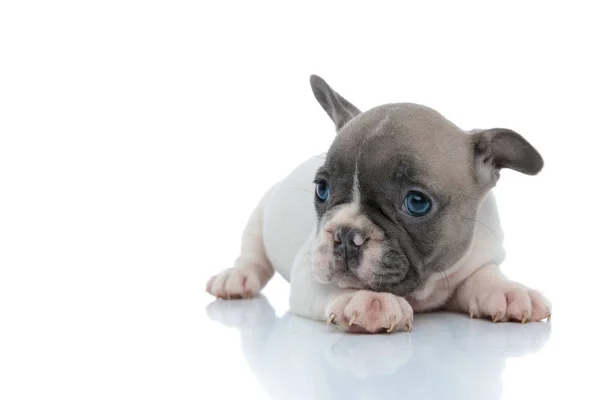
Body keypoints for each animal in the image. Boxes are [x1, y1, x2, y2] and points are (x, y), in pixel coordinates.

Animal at [207, 75, 552, 334]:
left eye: (416, 202)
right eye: (322, 189)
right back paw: (236, 278)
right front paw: (365, 298)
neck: (424, 288)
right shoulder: (309, 269)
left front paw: (509, 292)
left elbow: (486, 275)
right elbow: (334, 283)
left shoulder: (480, 256)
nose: (345, 235)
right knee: (252, 255)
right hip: (260, 215)